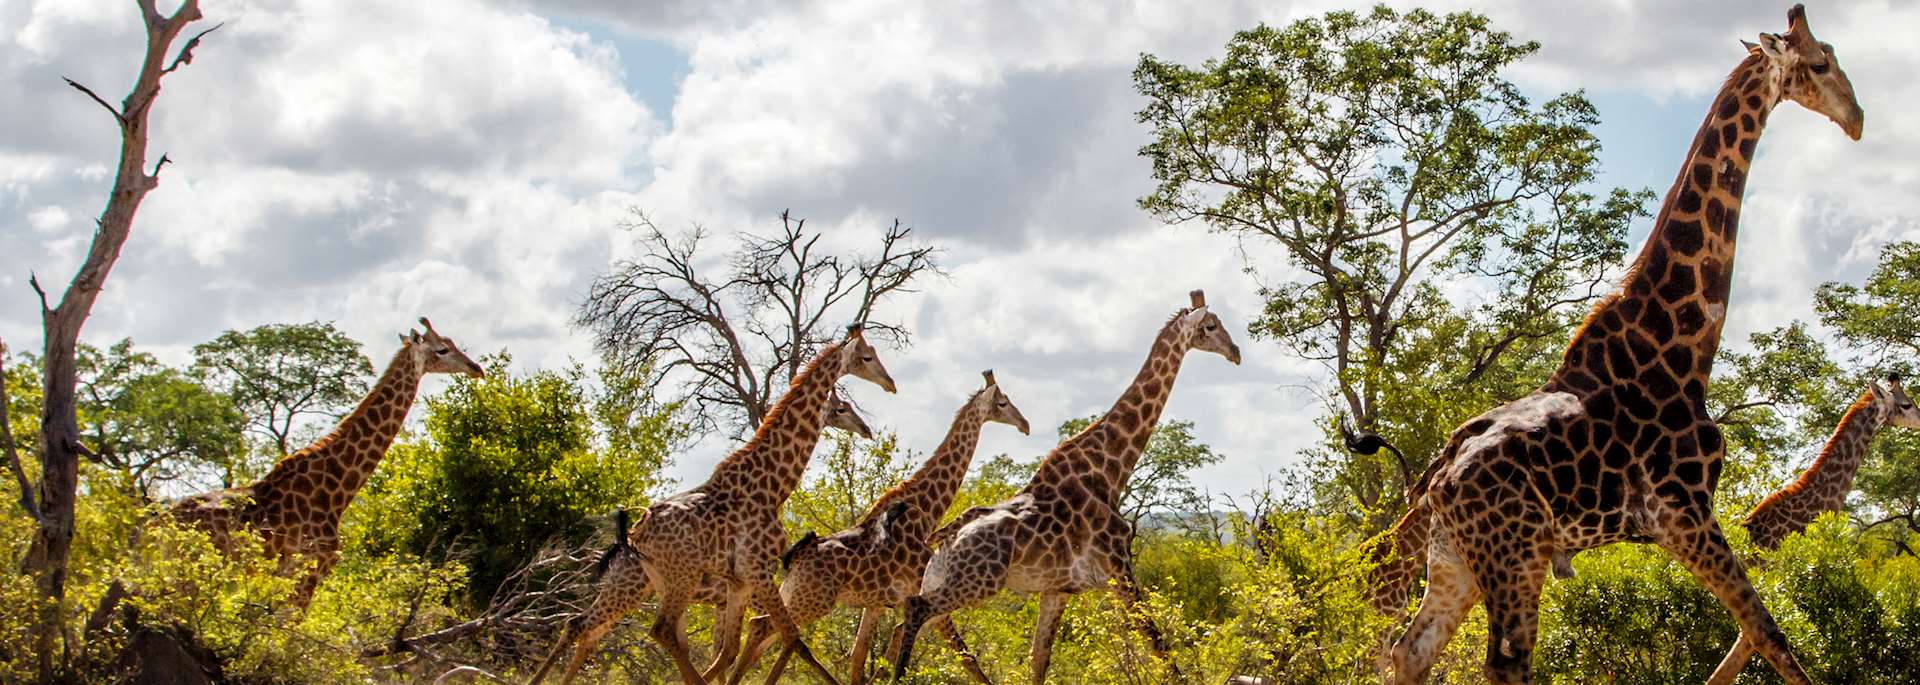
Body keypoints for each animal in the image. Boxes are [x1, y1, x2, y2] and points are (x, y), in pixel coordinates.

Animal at [526, 325, 896, 685]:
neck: (772, 488)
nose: (890, 384)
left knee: (600, 630)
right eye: (867, 357)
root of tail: (632, 535)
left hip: (661, 583)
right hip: (667, 581)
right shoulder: (758, 572)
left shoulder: (738, 583)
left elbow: (732, 649)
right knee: (641, 630)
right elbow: (791, 641)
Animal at [728, 370, 1031, 685]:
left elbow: (862, 656)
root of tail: (796, 556)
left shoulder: (876, 604)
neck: (926, 512)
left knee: (766, 632)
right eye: (1003, 402)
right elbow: (965, 657)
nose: (1025, 425)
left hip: (795, 594)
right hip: (811, 600)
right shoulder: (918, 594)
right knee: (767, 629)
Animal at [891, 290, 1241, 684]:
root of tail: (946, 539)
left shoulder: (1057, 589)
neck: (1109, 471)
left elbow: (1039, 659)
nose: (1236, 352)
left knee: (915, 624)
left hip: (942, 578)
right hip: (978, 581)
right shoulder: (1119, 570)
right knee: (917, 610)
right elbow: (1161, 648)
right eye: (1210, 326)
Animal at [1378, 6, 1862, 684]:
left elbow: (1754, 631)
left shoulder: (1682, 521)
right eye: (1819, 63)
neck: (1680, 343)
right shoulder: (1685, 511)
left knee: (1411, 651)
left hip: (1455, 562)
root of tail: (1435, 480)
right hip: (1515, 555)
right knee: (1506, 663)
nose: (1857, 118)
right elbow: (1769, 633)